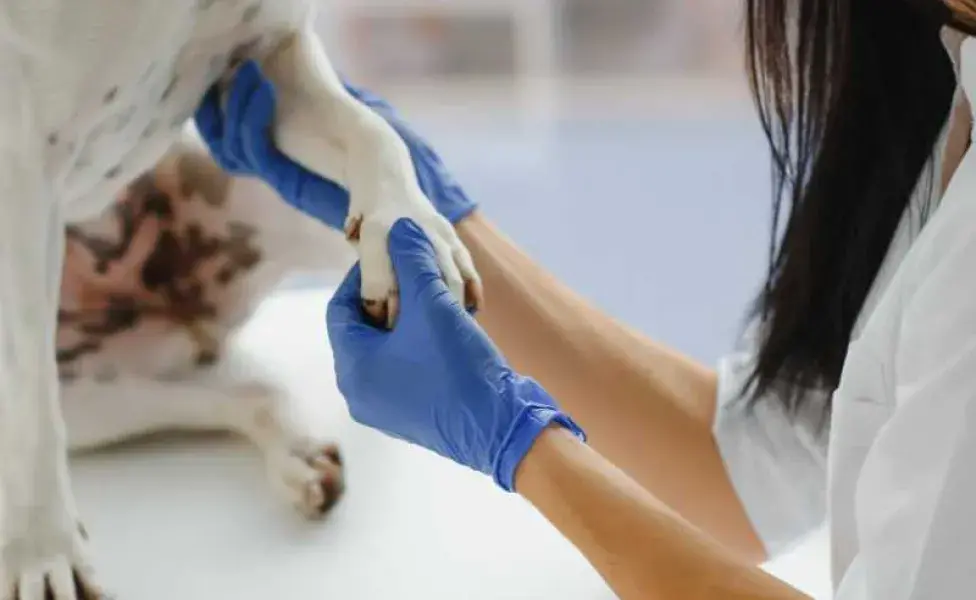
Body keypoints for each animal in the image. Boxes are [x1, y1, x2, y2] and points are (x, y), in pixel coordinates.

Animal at [0, 2, 482, 596]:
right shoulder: (21, 170)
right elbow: (31, 401)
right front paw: (44, 550)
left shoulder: (273, 60)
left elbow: (373, 132)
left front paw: (411, 230)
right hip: (88, 405)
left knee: (247, 392)